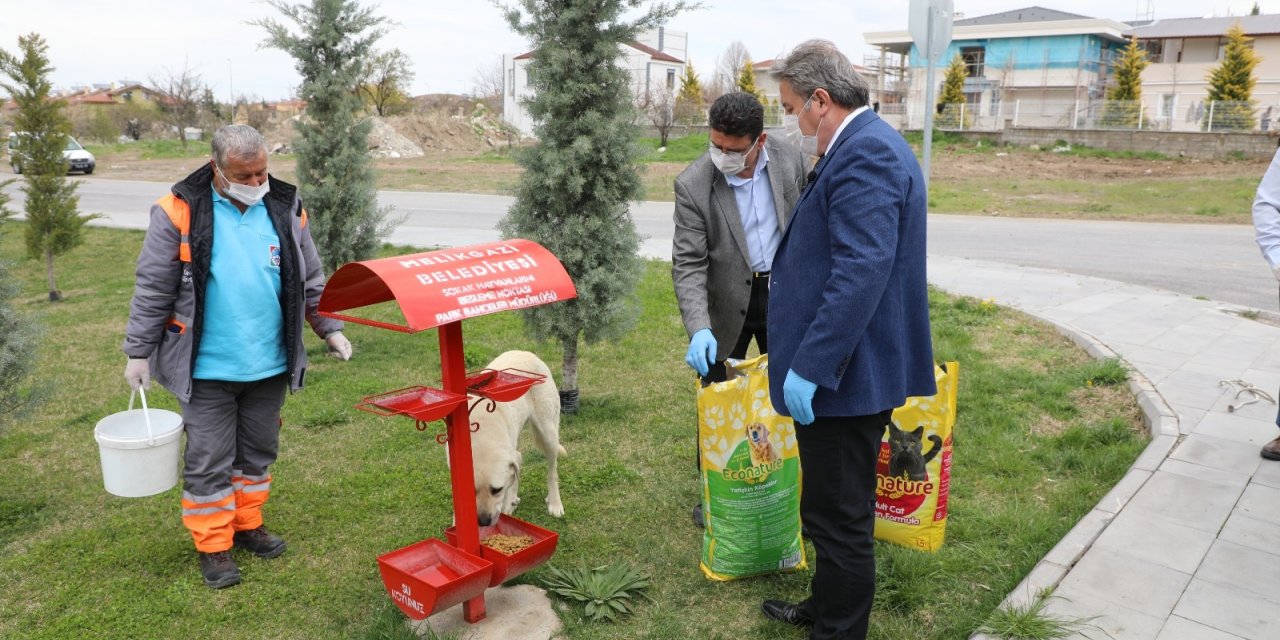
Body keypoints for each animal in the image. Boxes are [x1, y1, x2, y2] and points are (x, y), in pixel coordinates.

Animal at [455, 350, 565, 524]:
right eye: (473, 491)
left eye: (497, 490)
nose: (483, 522)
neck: (483, 436)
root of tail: (527, 352)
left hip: (548, 433)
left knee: (552, 470)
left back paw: (555, 503)